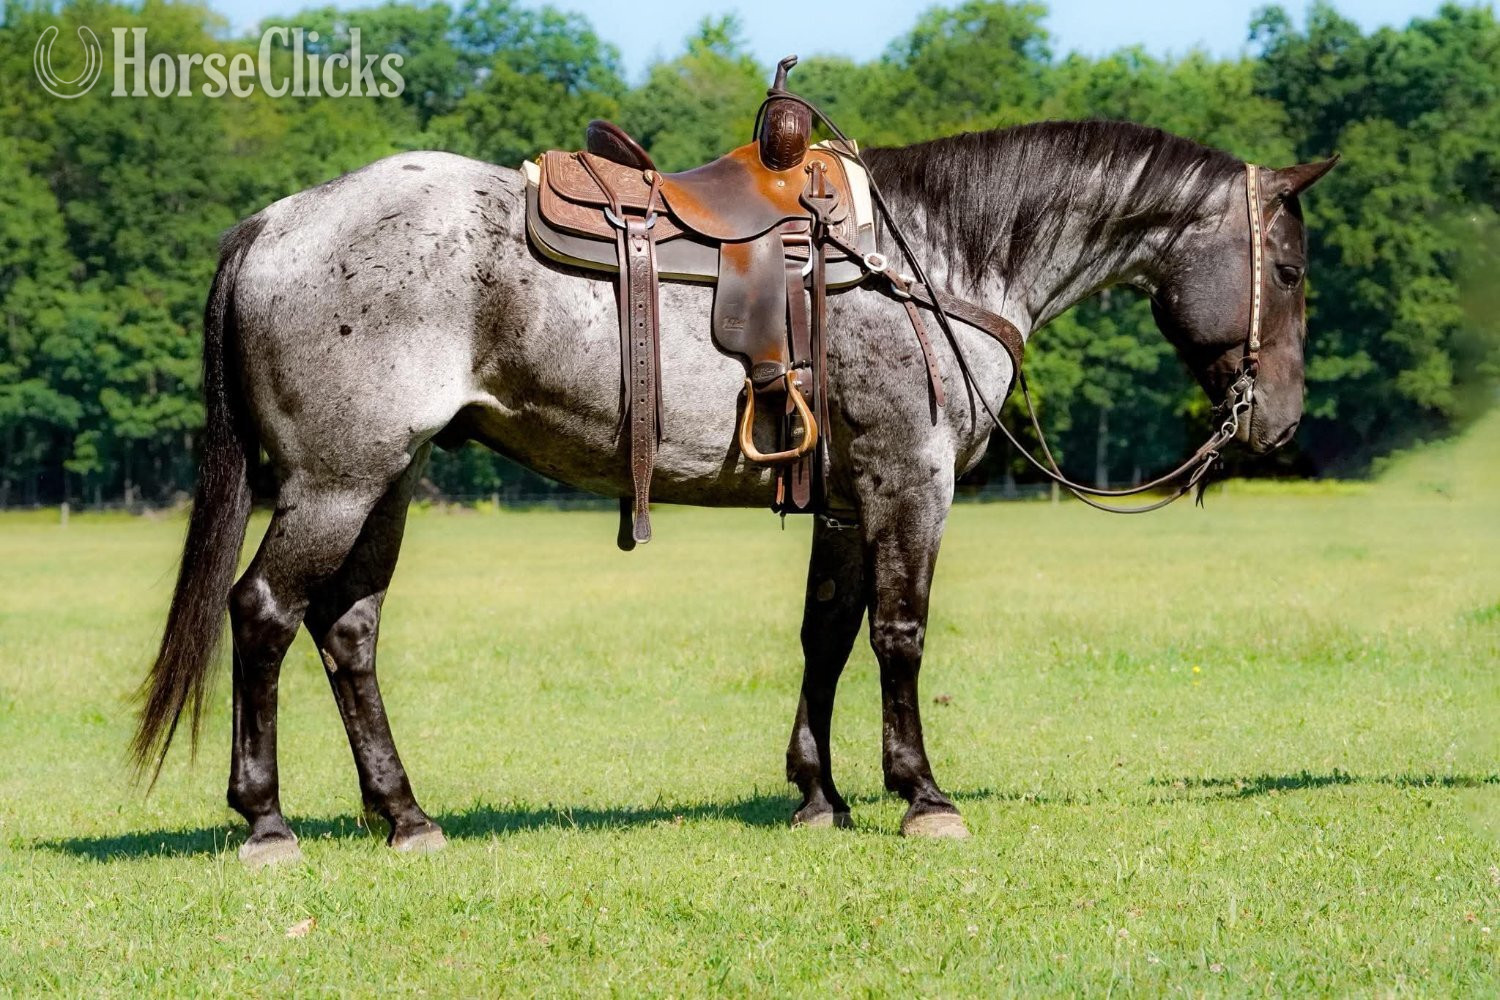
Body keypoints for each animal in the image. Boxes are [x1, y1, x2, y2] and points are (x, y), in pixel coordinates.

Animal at [132, 119, 1335, 865]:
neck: (935, 260)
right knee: (265, 614)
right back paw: (267, 822)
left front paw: (820, 795)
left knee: (349, 630)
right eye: (1291, 268)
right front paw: (922, 795)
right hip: (338, 482)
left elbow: (826, 634)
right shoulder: (910, 477)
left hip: (385, 478)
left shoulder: (847, 495)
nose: (1276, 422)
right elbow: (899, 633)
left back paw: (405, 815)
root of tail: (277, 222)